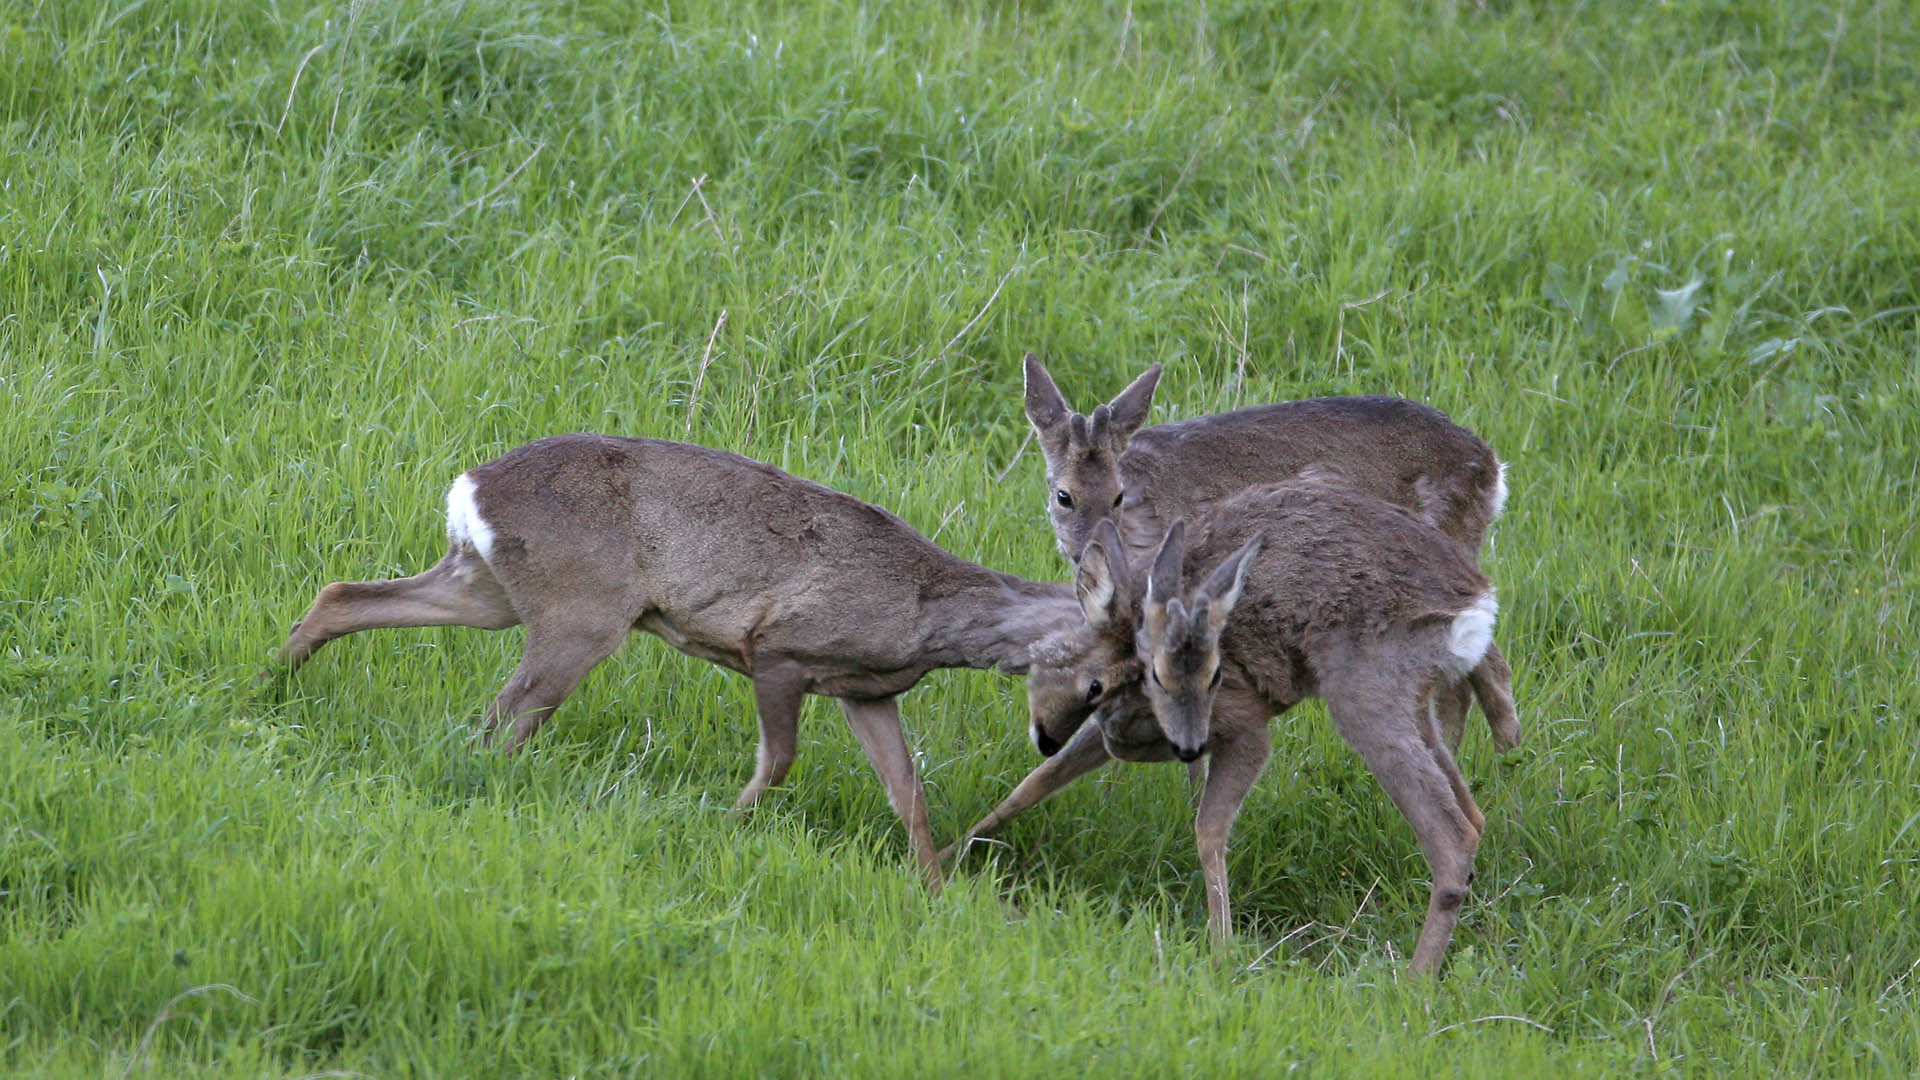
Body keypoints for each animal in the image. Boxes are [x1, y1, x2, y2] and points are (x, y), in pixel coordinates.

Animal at [266, 432, 1098, 880]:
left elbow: (909, 793)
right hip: (582, 611)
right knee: (508, 711)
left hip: (489, 590)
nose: (1051, 741)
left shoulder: (866, 691)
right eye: (1096, 680)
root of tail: (469, 489)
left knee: (345, 594)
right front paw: (726, 826)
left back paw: (274, 687)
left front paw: (934, 887)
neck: (926, 610)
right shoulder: (778, 650)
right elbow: (779, 760)